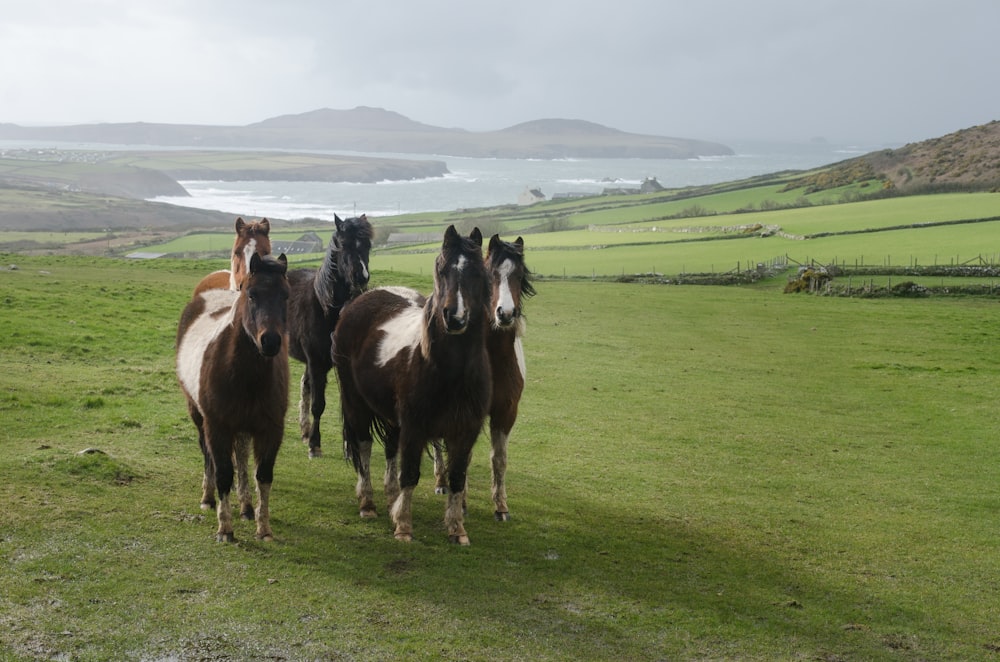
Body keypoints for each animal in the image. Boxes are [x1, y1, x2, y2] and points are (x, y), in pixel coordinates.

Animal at [176, 254, 292, 544]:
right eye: (251, 294)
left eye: (286, 295)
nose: (270, 341)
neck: (244, 374)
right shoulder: (217, 426)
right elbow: (223, 473)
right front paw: (225, 529)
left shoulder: (271, 429)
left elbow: (263, 475)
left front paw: (263, 528)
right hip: (199, 416)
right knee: (208, 454)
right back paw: (207, 498)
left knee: (241, 457)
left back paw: (247, 507)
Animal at [288, 215, 374, 460]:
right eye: (343, 245)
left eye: (367, 245)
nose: (361, 277)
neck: (326, 307)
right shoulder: (317, 362)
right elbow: (319, 404)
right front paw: (314, 445)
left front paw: (349, 448)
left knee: (305, 384)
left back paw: (304, 429)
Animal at [334, 226, 494, 548]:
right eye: (442, 269)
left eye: (475, 272)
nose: (454, 317)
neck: (451, 372)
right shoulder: (415, 426)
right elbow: (410, 473)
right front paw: (404, 527)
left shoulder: (465, 431)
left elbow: (457, 477)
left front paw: (457, 529)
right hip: (356, 402)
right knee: (364, 447)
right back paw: (368, 503)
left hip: (392, 417)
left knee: (390, 449)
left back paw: (390, 500)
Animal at [434, 235, 536, 524]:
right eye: (491, 275)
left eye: (519, 275)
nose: (505, 313)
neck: (495, 361)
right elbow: (463, 457)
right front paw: (462, 503)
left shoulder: (506, 412)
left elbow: (499, 459)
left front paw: (501, 506)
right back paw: (441, 482)